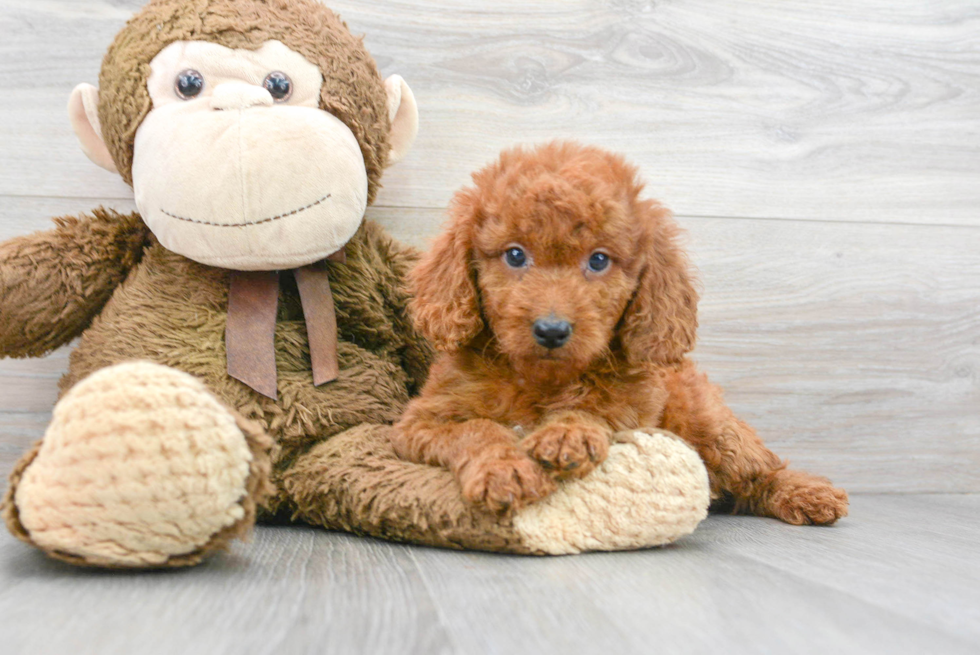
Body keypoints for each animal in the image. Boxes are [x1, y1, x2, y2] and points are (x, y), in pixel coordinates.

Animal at [390, 144, 848, 528]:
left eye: (598, 260)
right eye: (515, 255)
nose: (552, 330)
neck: (539, 378)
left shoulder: (635, 407)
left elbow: (598, 408)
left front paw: (567, 433)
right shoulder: (421, 422)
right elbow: (476, 428)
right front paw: (506, 470)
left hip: (711, 426)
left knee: (758, 470)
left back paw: (807, 493)